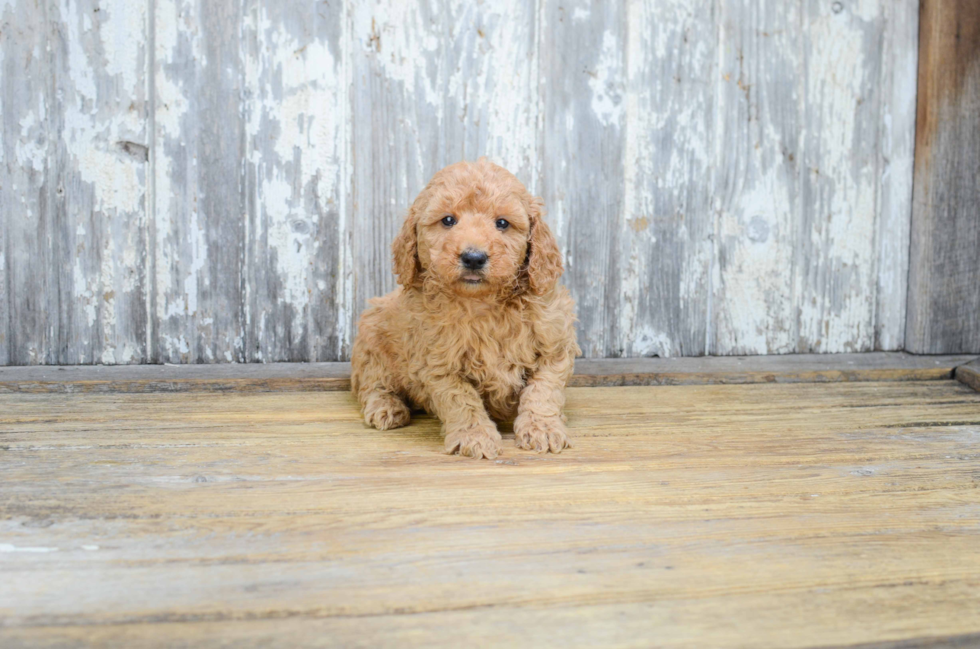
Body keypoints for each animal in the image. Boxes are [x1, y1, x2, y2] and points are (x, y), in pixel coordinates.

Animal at [352, 159, 580, 458]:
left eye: (502, 223)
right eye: (448, 220)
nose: (473, 257)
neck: (482, 302)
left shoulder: (554, 343)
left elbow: (543, 391)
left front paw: (543, 428)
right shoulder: (437, 362)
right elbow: (460, 400)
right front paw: (476, 436)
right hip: (372, 339)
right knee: (372, 383)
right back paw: (386, 407)